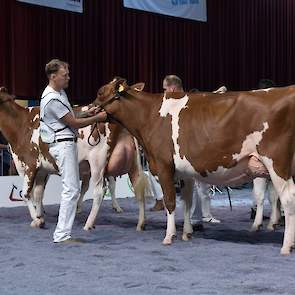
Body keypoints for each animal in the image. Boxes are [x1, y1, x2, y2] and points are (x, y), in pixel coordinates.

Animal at [94, 77, 295, 256]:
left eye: (100, 92)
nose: (89, 108)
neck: (150, 115)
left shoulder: (163, 165)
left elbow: (170, 202)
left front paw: (169, 236)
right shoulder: (184, 172)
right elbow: (187, 202)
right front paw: (187, 233)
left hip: (276, 164)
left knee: (287, 199)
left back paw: (286, 247)